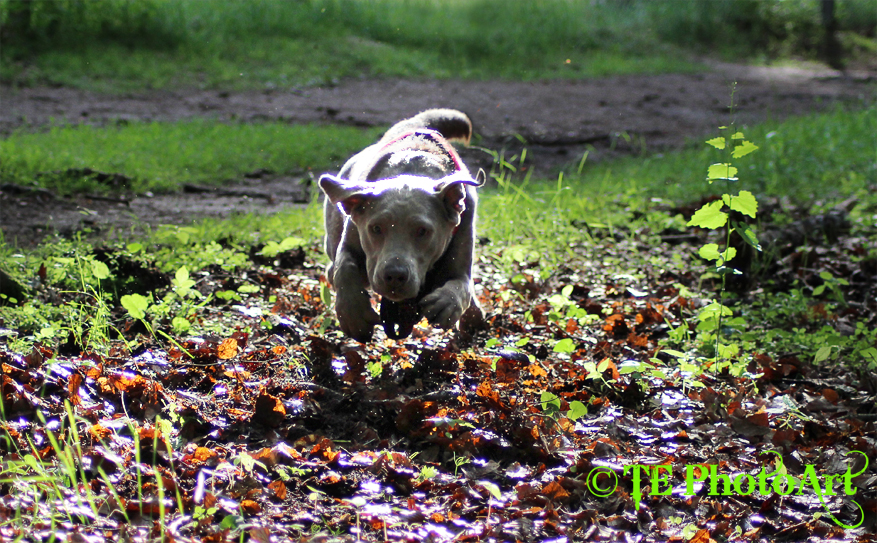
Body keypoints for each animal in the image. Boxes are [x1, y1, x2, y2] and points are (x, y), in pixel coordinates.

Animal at [318, 108, 482, 342]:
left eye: (423, 231)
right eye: (376, 228)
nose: (394, 275)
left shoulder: (461, 247)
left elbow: (461, 285)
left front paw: (446, 304)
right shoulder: (352, 240)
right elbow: (345, 266)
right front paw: (353, 315)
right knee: (334, 266)